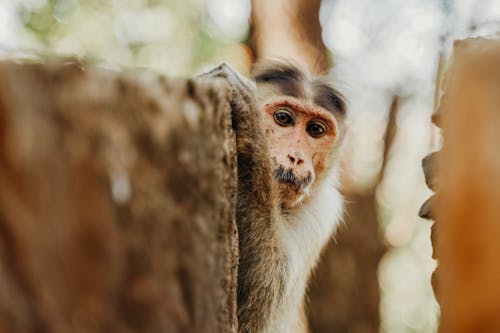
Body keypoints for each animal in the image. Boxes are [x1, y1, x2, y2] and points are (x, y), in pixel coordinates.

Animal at [199, 60, 348, 332]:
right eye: (283, 118)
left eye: (315, 130)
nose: (296, 158)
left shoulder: (324, 211)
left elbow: (259, 313)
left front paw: (250, 123)